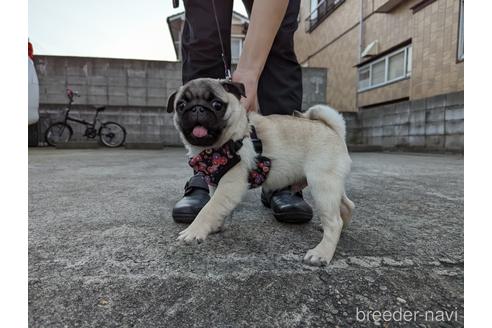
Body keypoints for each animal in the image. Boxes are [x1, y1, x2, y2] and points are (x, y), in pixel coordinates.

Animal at [168, 77, 354, 266]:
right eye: (181, 105)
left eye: (217, 104)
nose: (197, 108)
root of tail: (333, 129)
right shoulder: (215, 183)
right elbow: (217, 207)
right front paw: (217, 226)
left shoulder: (230, 185)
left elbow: (209, 208)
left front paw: (194, 231)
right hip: (332, 183)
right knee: (347, 206)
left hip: (322, 185)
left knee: (334, 222)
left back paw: (322, 253)